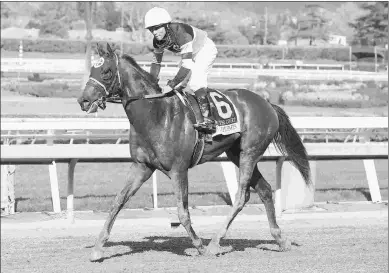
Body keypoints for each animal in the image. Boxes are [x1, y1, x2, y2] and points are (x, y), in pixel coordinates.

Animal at [77, 41, 310, 260]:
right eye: (92, 70)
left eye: (106, 71)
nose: (83, 100)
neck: (155, 115)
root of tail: (268, 103)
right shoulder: (142, 167)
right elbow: (117, 201)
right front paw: (98, 248)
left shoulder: (179, 169)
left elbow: (182, 212)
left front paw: (199, 245)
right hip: (236, 153)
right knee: (265, 190)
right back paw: (280, 239)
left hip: (250, 152)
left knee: (241, 196)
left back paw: (215, 243)